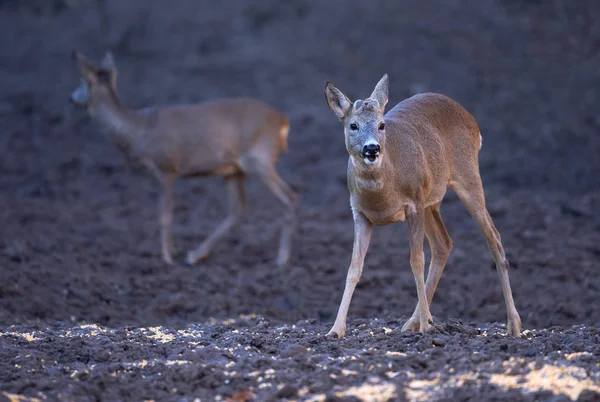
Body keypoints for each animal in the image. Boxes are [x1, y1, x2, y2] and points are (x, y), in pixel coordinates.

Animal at [69, 51, 296, 268]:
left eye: (82, 80)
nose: (72, 98)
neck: (137, 129)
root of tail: (283, 122)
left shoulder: (168, 168)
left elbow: (165, 216)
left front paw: (167, 259)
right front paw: (175, 252)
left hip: (259, 162)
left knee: (289, 198)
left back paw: (281, 259)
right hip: (234, 170)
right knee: (238, 209)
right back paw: (194, 256)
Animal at [324, 74, 520, 338]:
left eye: (381, 125)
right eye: (353, 125)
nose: (372, 148)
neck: (383, 192)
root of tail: (470, 117)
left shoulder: (413, 205)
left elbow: (416, 261)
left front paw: (428, 325)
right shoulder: (360, 214)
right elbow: (354, 268)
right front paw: (335, 330)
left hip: (467, 177)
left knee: (494, 238)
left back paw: (513, 326)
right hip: (431, 201)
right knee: (444, 243)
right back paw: (412, 322)